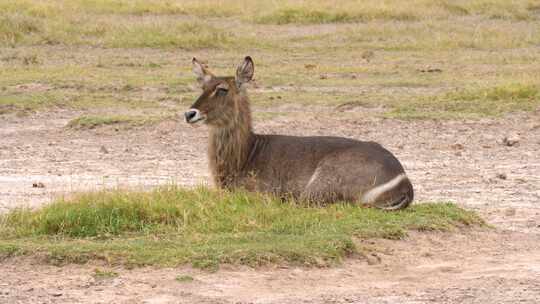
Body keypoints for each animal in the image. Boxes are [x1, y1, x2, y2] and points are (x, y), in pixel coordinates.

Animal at [186, 56, 414, 209]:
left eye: (222, 89)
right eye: (203, 87)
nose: (189, 113)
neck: (247, 153)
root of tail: (403, 181)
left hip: (318, 186)